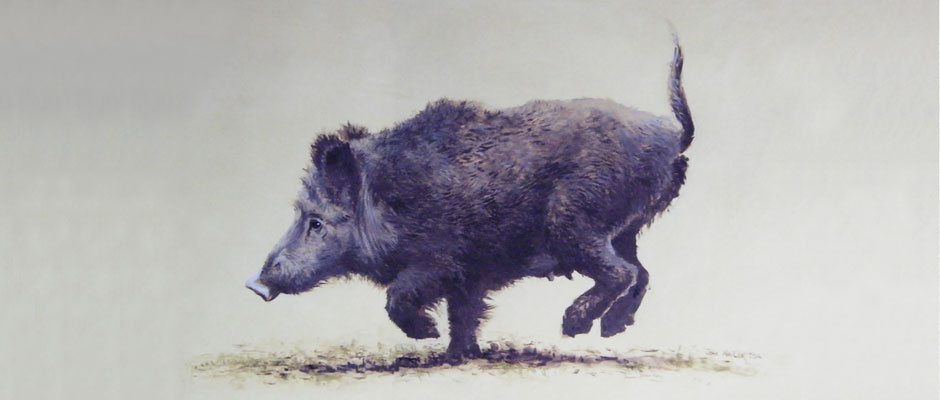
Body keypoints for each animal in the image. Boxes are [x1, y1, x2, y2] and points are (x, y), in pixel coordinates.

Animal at [247, 37, 694, 362]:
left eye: (316, 221)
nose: (255, 283)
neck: (387, 199)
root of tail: (673, 136)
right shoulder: (469, 276)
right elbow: (464, 314)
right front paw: (457, 355)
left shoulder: (440, 260)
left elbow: (399, 298)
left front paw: (428, 336)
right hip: (625, 229)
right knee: (641, 273)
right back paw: (610, 329)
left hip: (576, 220)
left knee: (621, 272)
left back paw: (573, 327)